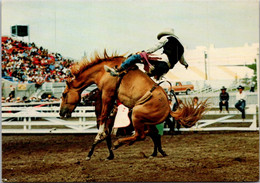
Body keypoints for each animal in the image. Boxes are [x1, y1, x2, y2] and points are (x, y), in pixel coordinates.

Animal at [59, 50, 209, 159]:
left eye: (64, 94)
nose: (61, 113)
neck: (102, 71)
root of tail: (169, 108)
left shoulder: (107, 93)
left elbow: (103, 119)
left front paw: (97, 142)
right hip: (145, 121)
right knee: (150, 134)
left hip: (137, 114)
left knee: (141, 135)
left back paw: (119, 143)